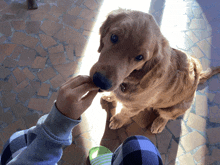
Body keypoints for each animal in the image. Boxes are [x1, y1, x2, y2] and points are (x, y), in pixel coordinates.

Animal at [89, 8, 220, 134]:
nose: (100, 81)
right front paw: (111, 96)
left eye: (140, 57)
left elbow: (124, 113)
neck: (134, 78)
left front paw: (117, 120)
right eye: (114, 37)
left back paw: (159, 123)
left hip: (173, 109)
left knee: (166, 117)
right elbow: (115, 95)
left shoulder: (135, 107)